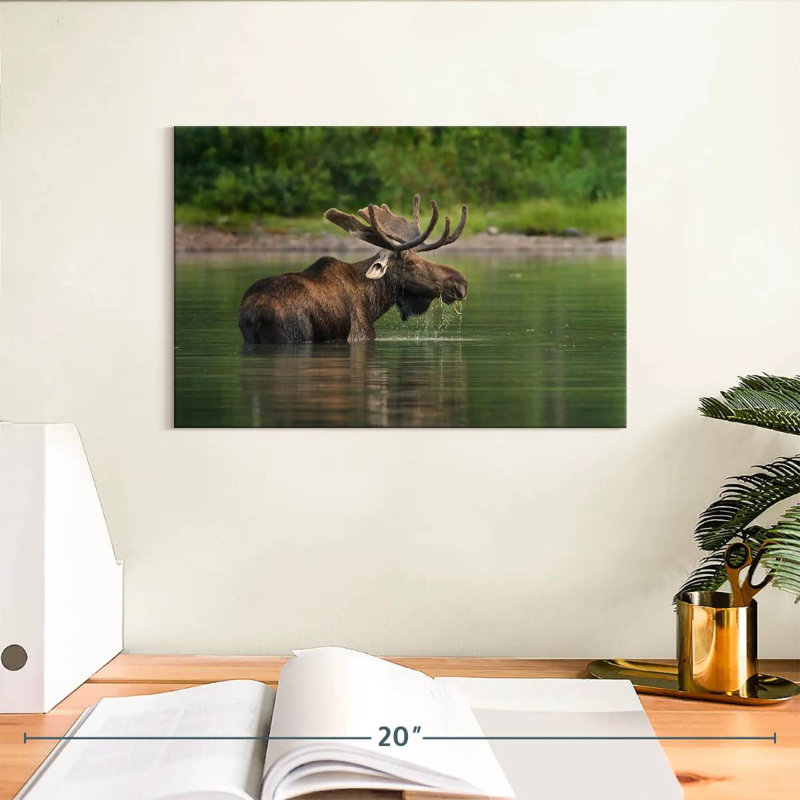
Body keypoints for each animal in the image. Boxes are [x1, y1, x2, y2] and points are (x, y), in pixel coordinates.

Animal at [238, 195, 468, 343]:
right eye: (410, 262)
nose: (460, 283)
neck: (375, 301)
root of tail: (254, 313)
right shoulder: (361, 333)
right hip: (293, 334)